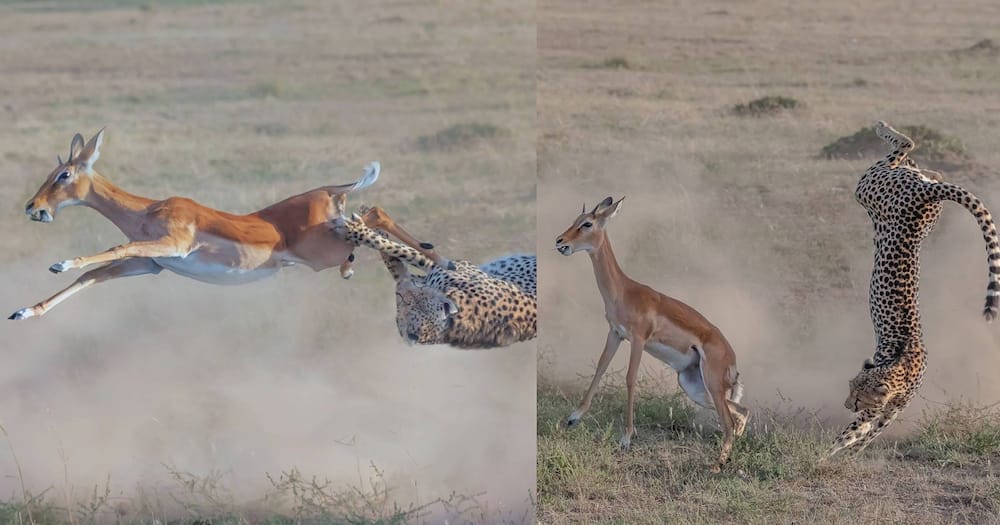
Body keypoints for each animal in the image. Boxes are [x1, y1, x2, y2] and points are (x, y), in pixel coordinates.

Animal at [334, 213, 540, 348]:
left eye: (405, 301)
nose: (400, 289)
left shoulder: (438, 270)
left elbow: (398, 251)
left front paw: (358, 231)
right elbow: (401, 254)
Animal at [824, 121, 996, 456]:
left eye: (857, 395)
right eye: (850, 388)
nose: (846, 404)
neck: (899, 372)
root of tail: (926, 192)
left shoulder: (888, 411)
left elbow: (863, 432)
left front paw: (844, 451)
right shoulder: (885, 409)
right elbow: (856, 432)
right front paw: (831, 452)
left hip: (880, 194)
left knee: (909, 155)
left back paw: (897, 140)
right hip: (874, 190)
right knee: (907, 153)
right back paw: (886, 130)